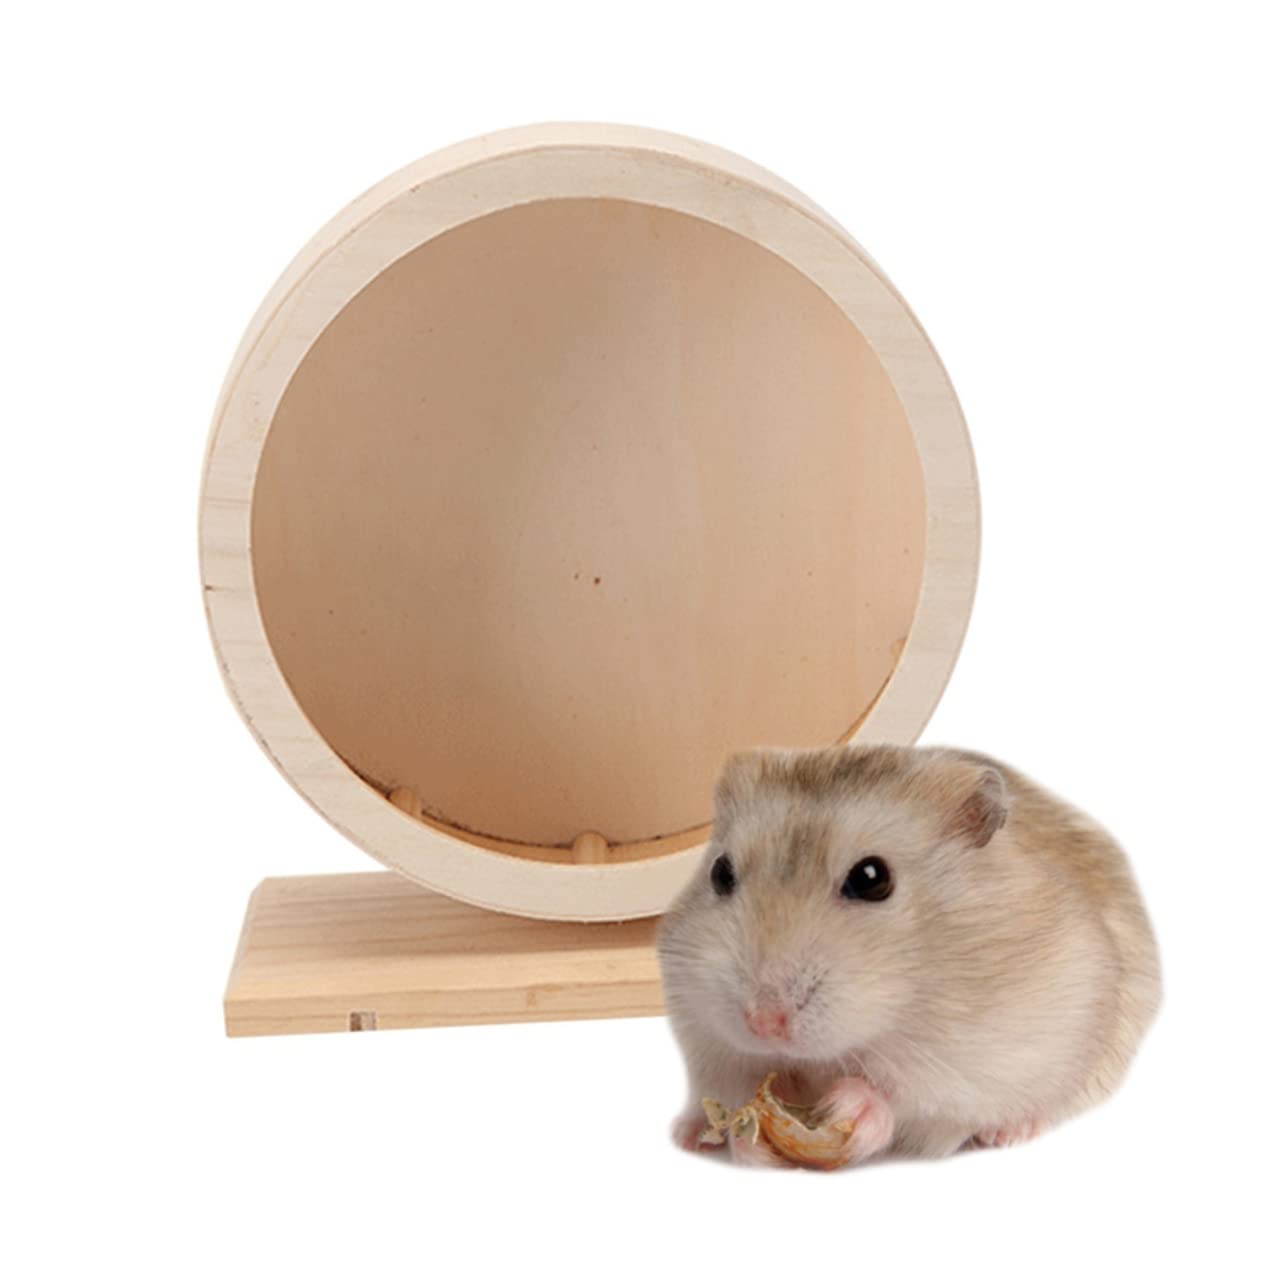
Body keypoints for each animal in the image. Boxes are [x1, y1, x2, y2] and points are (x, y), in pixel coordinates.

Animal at [656, 744, 1161, 1167]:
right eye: (720, 873)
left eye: (872, 878)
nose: (763, 1023)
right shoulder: (706, 1036)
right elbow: (737, 1080)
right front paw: (747, 1130)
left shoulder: (984, 1054)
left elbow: (908, 1096)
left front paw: (847, 1105)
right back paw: (689, 1133)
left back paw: (1009, 1132)